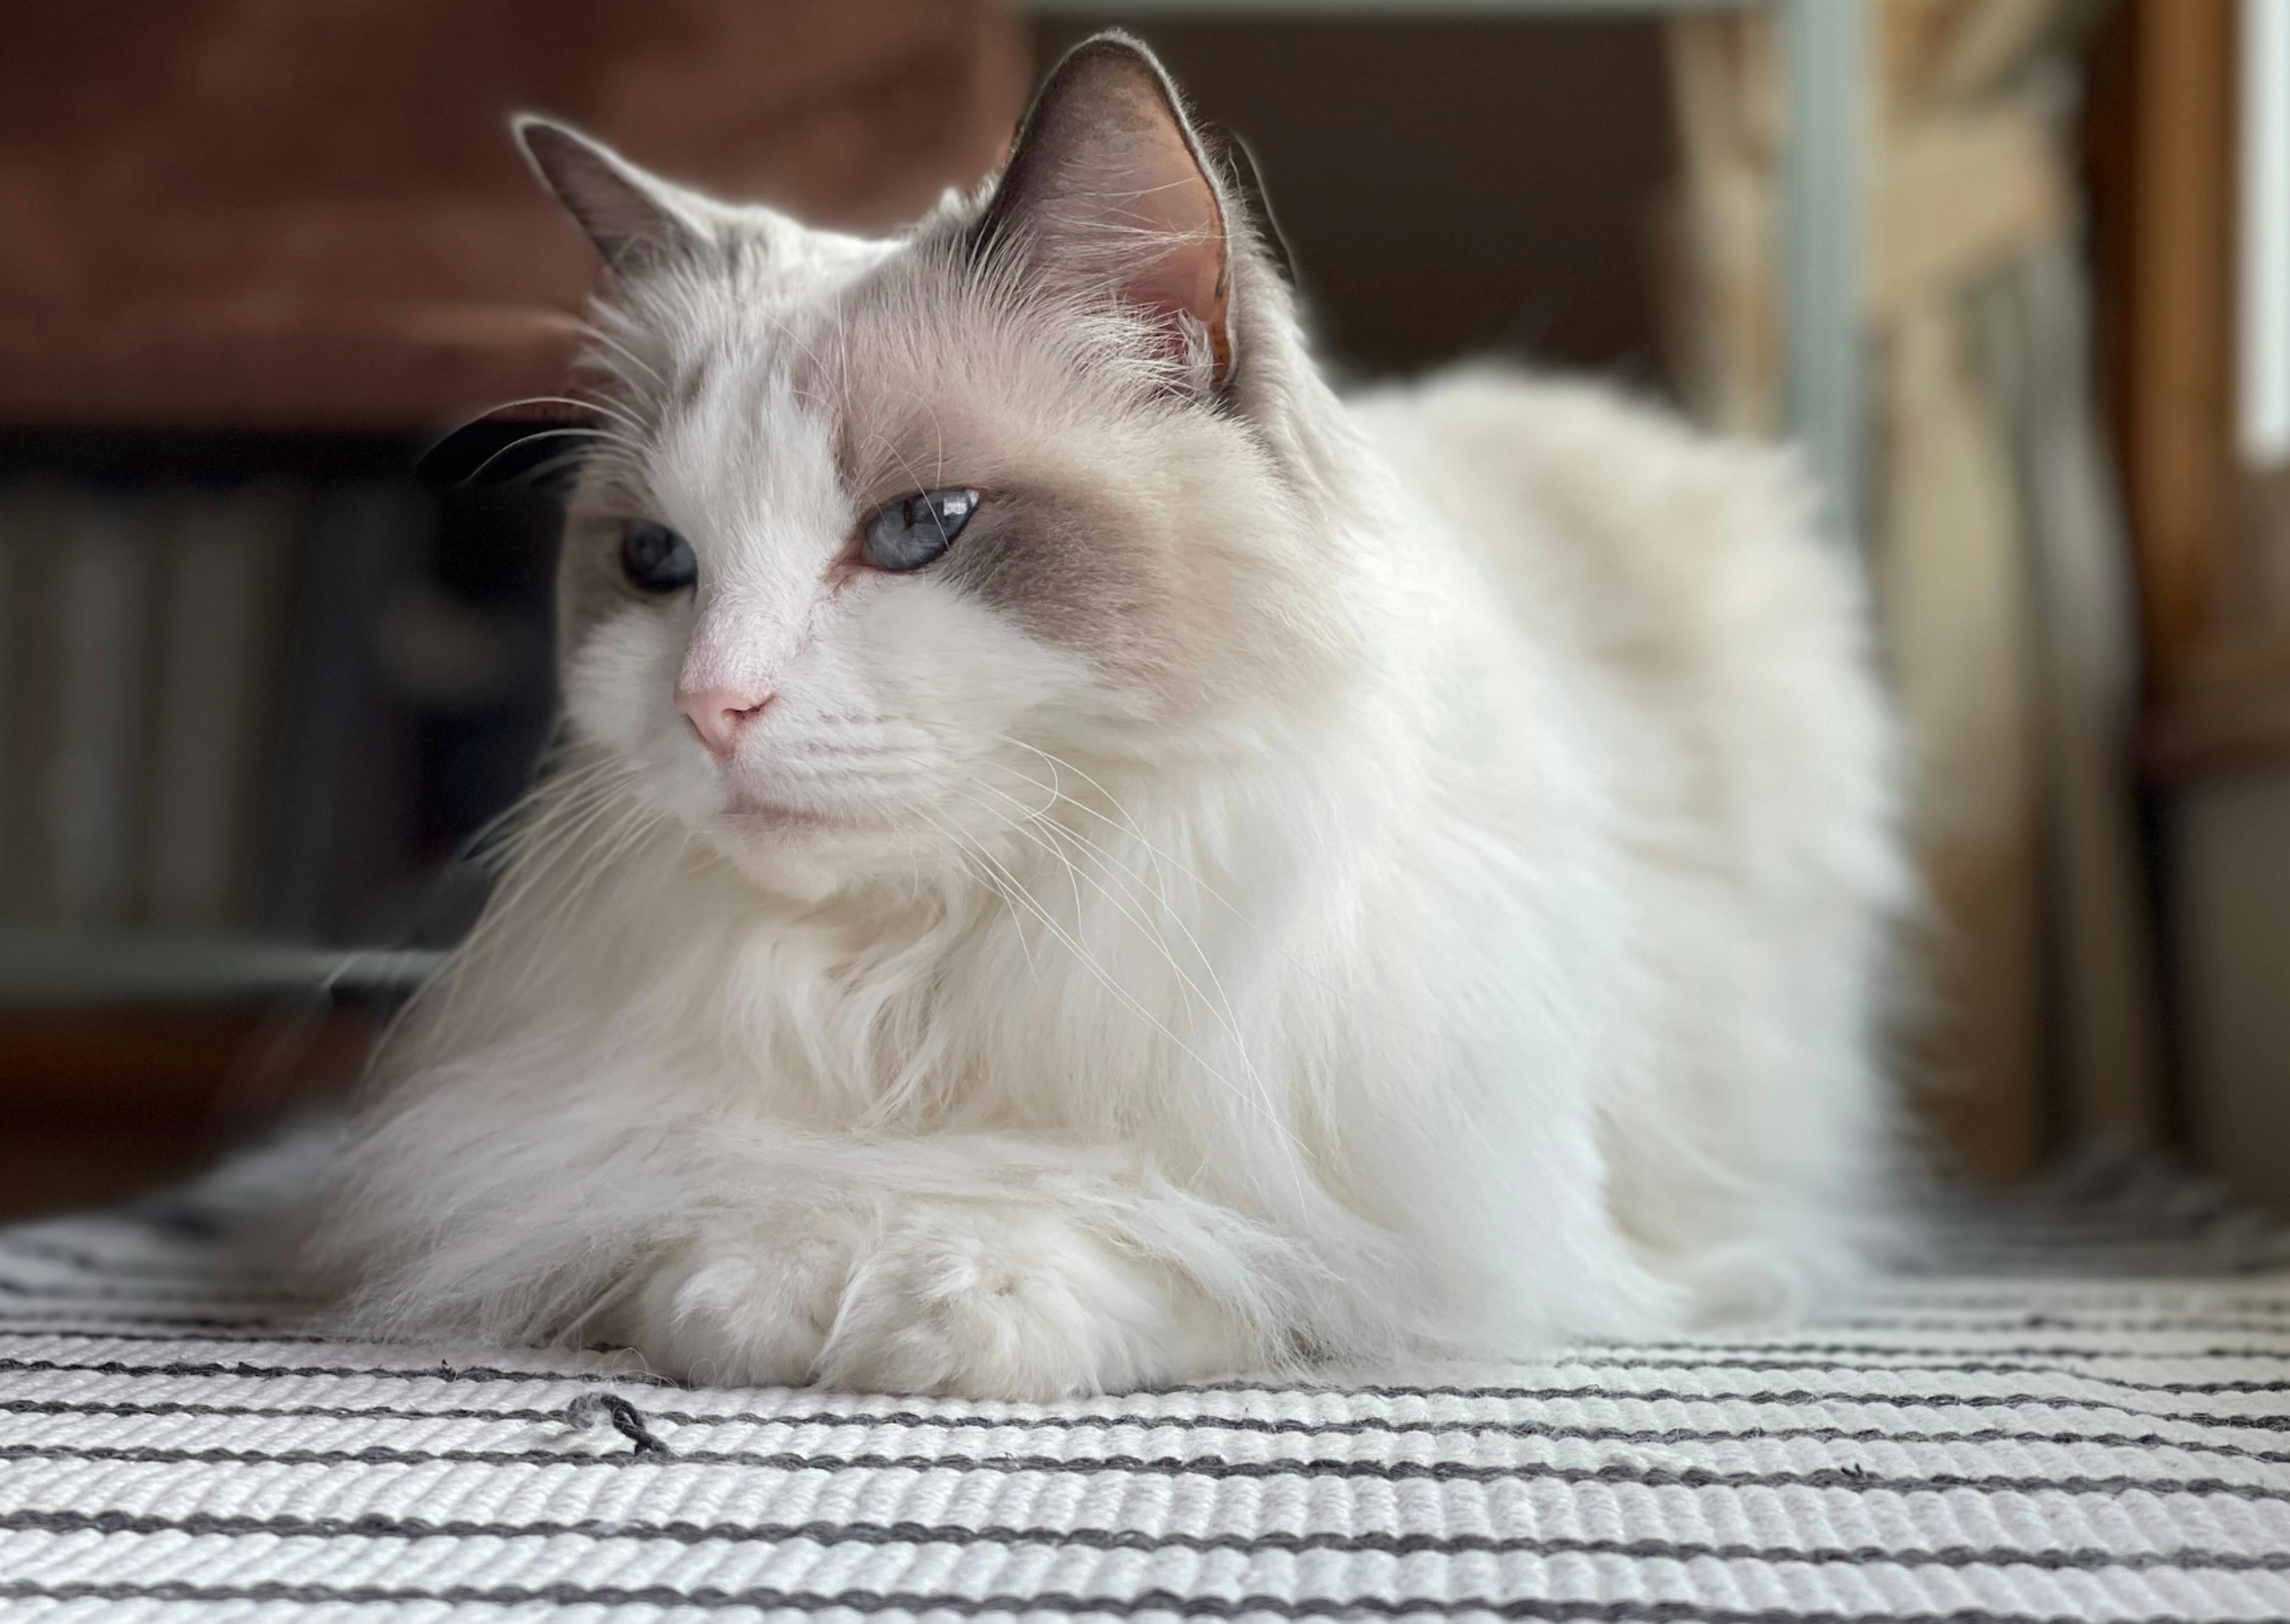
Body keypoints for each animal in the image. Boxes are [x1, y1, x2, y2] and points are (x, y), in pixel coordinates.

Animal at [309, 28, 1914, 1392]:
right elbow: (689, 1219)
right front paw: (779, 1281)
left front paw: (930, 1297)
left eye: (920, 528)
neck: (918, 973)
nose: (712, 705)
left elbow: (1165, 1225)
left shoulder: (1400, 1209)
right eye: (656, 564)